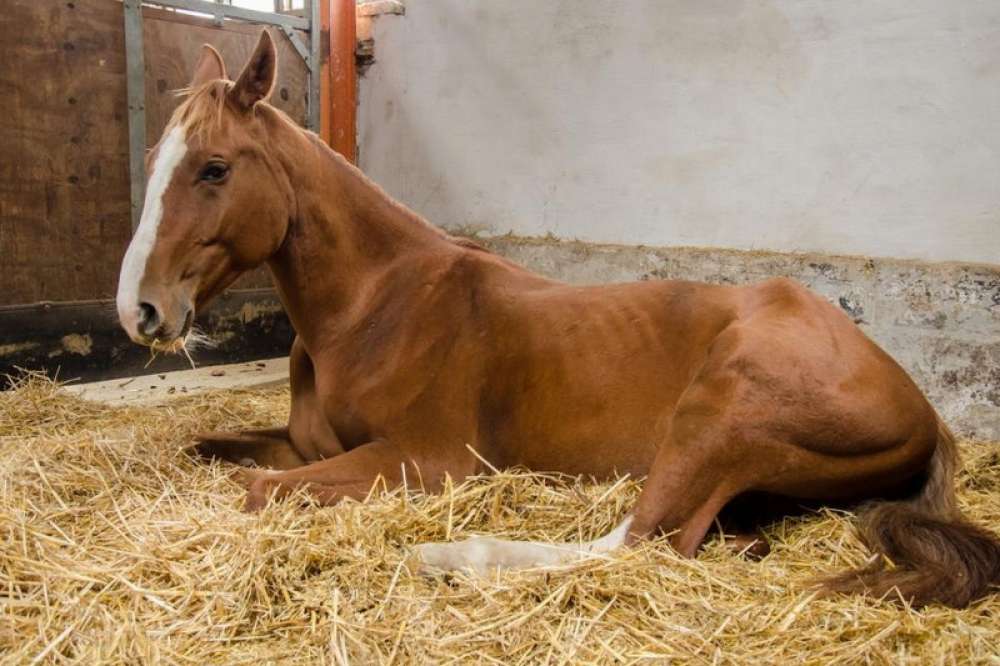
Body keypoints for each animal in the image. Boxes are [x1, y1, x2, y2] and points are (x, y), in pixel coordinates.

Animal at [115, 30, 1000, 608]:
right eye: (157, 160)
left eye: (214, 168)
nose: (140, 309)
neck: (376, 307)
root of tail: (921, 410)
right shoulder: (311, 446)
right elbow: (217, 451)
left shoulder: (428, 461)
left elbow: (260, 490)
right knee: (706, 537)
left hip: (724, 412)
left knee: (638, 541)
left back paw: (449, 556)